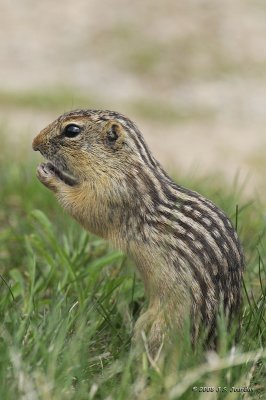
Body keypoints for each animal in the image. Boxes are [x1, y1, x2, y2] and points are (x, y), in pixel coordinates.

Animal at [32, 108, 244, 354]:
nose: (34, 143)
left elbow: (83, 209)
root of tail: (214, 345)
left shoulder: (112, 195)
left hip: (162, 325)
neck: (124, 165)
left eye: (72, 130)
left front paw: (48, 176)